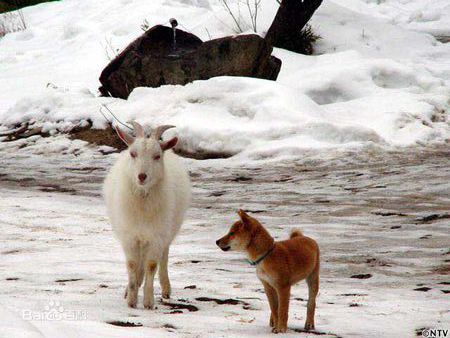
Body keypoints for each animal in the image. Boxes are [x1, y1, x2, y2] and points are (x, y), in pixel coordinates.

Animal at [103, 121, 190, 308]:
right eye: (133, 154)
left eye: (157, 156)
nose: (142, 176)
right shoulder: (130, 236)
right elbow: (132, 265)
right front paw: (131, 299)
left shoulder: (157, 236)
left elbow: (151, 265)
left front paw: (148, 302)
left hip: (167, 232)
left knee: (163, 258)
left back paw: (165, 289)